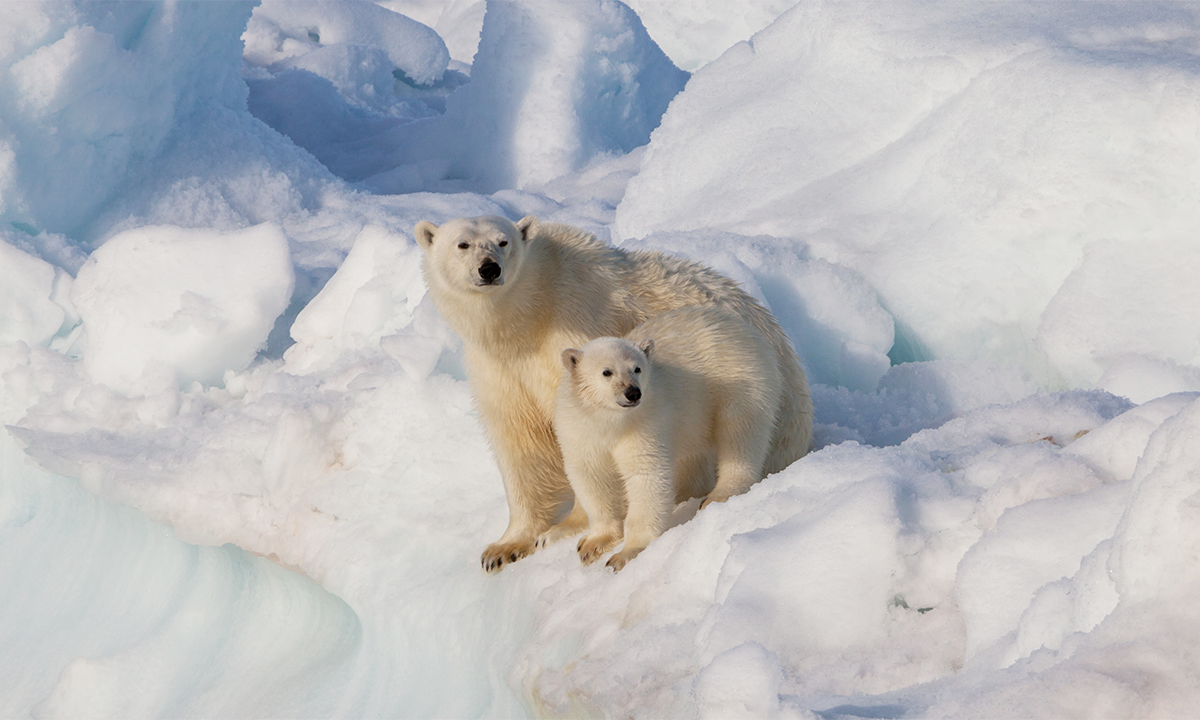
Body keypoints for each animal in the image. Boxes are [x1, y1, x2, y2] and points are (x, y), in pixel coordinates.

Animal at [555, 306, 784, 571]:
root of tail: (748, 330)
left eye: (637, 368)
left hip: (741, 382)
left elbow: (646, 476)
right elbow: (592, 477)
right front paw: (591, 546)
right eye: (606, 372)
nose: (632, 392)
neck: (610, 423)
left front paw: (625, 554)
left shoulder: (644, 423)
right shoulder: (578, 432)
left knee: (740, 435)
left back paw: (719, 494)